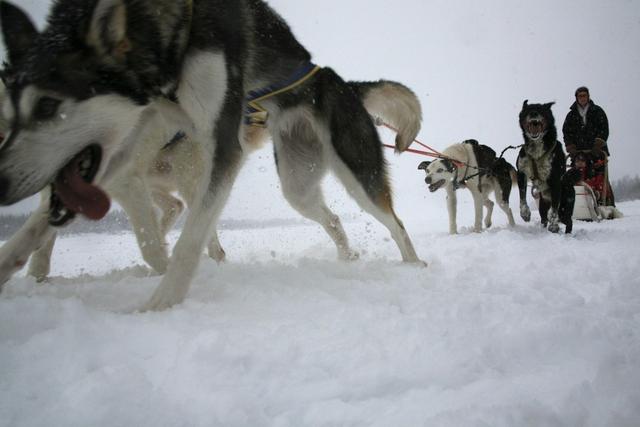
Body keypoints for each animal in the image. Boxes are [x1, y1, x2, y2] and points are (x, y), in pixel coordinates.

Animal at [0, 0, 422, 308]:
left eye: (48, 106)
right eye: (12, 111)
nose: (3, 182)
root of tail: (344, 83)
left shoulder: (221, 141)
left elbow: (187, 243)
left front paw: (159, 306)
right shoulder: (126, 144)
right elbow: (33, 231)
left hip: (359, 175)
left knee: (397, 224)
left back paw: (414, 266)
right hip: (297, 186)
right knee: (332, 219)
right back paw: (348, 257)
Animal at [516, 101, 576, 234]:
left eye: (541, 110)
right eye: (528, 110)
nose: (534, 113)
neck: (536, 151)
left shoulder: (555, 180)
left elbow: (553, 211)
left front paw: (553, 226)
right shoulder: (521, 172)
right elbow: (522, 196)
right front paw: (525, 213)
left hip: (564, 208)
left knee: (568, 221)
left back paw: (567, 234)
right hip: (542, 205)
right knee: (544, 218)